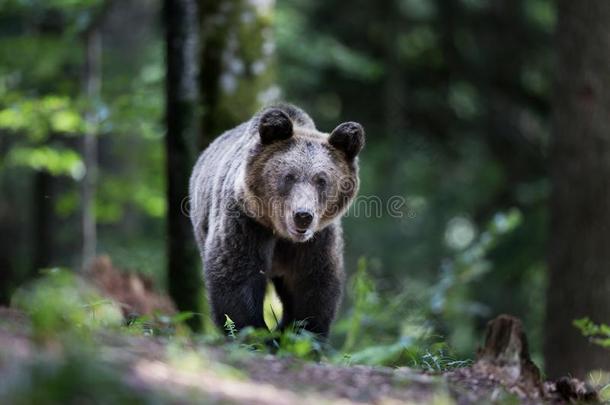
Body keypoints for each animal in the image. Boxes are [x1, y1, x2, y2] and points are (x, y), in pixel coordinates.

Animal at [188, 102, 364, 336]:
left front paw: (301, 332)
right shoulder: (246, 224)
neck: (281, 234)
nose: (303, 216)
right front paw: (256, 334)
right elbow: (236, 279)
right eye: (289, 176)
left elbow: (312, 287)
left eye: (321, 180)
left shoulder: (316, 240)